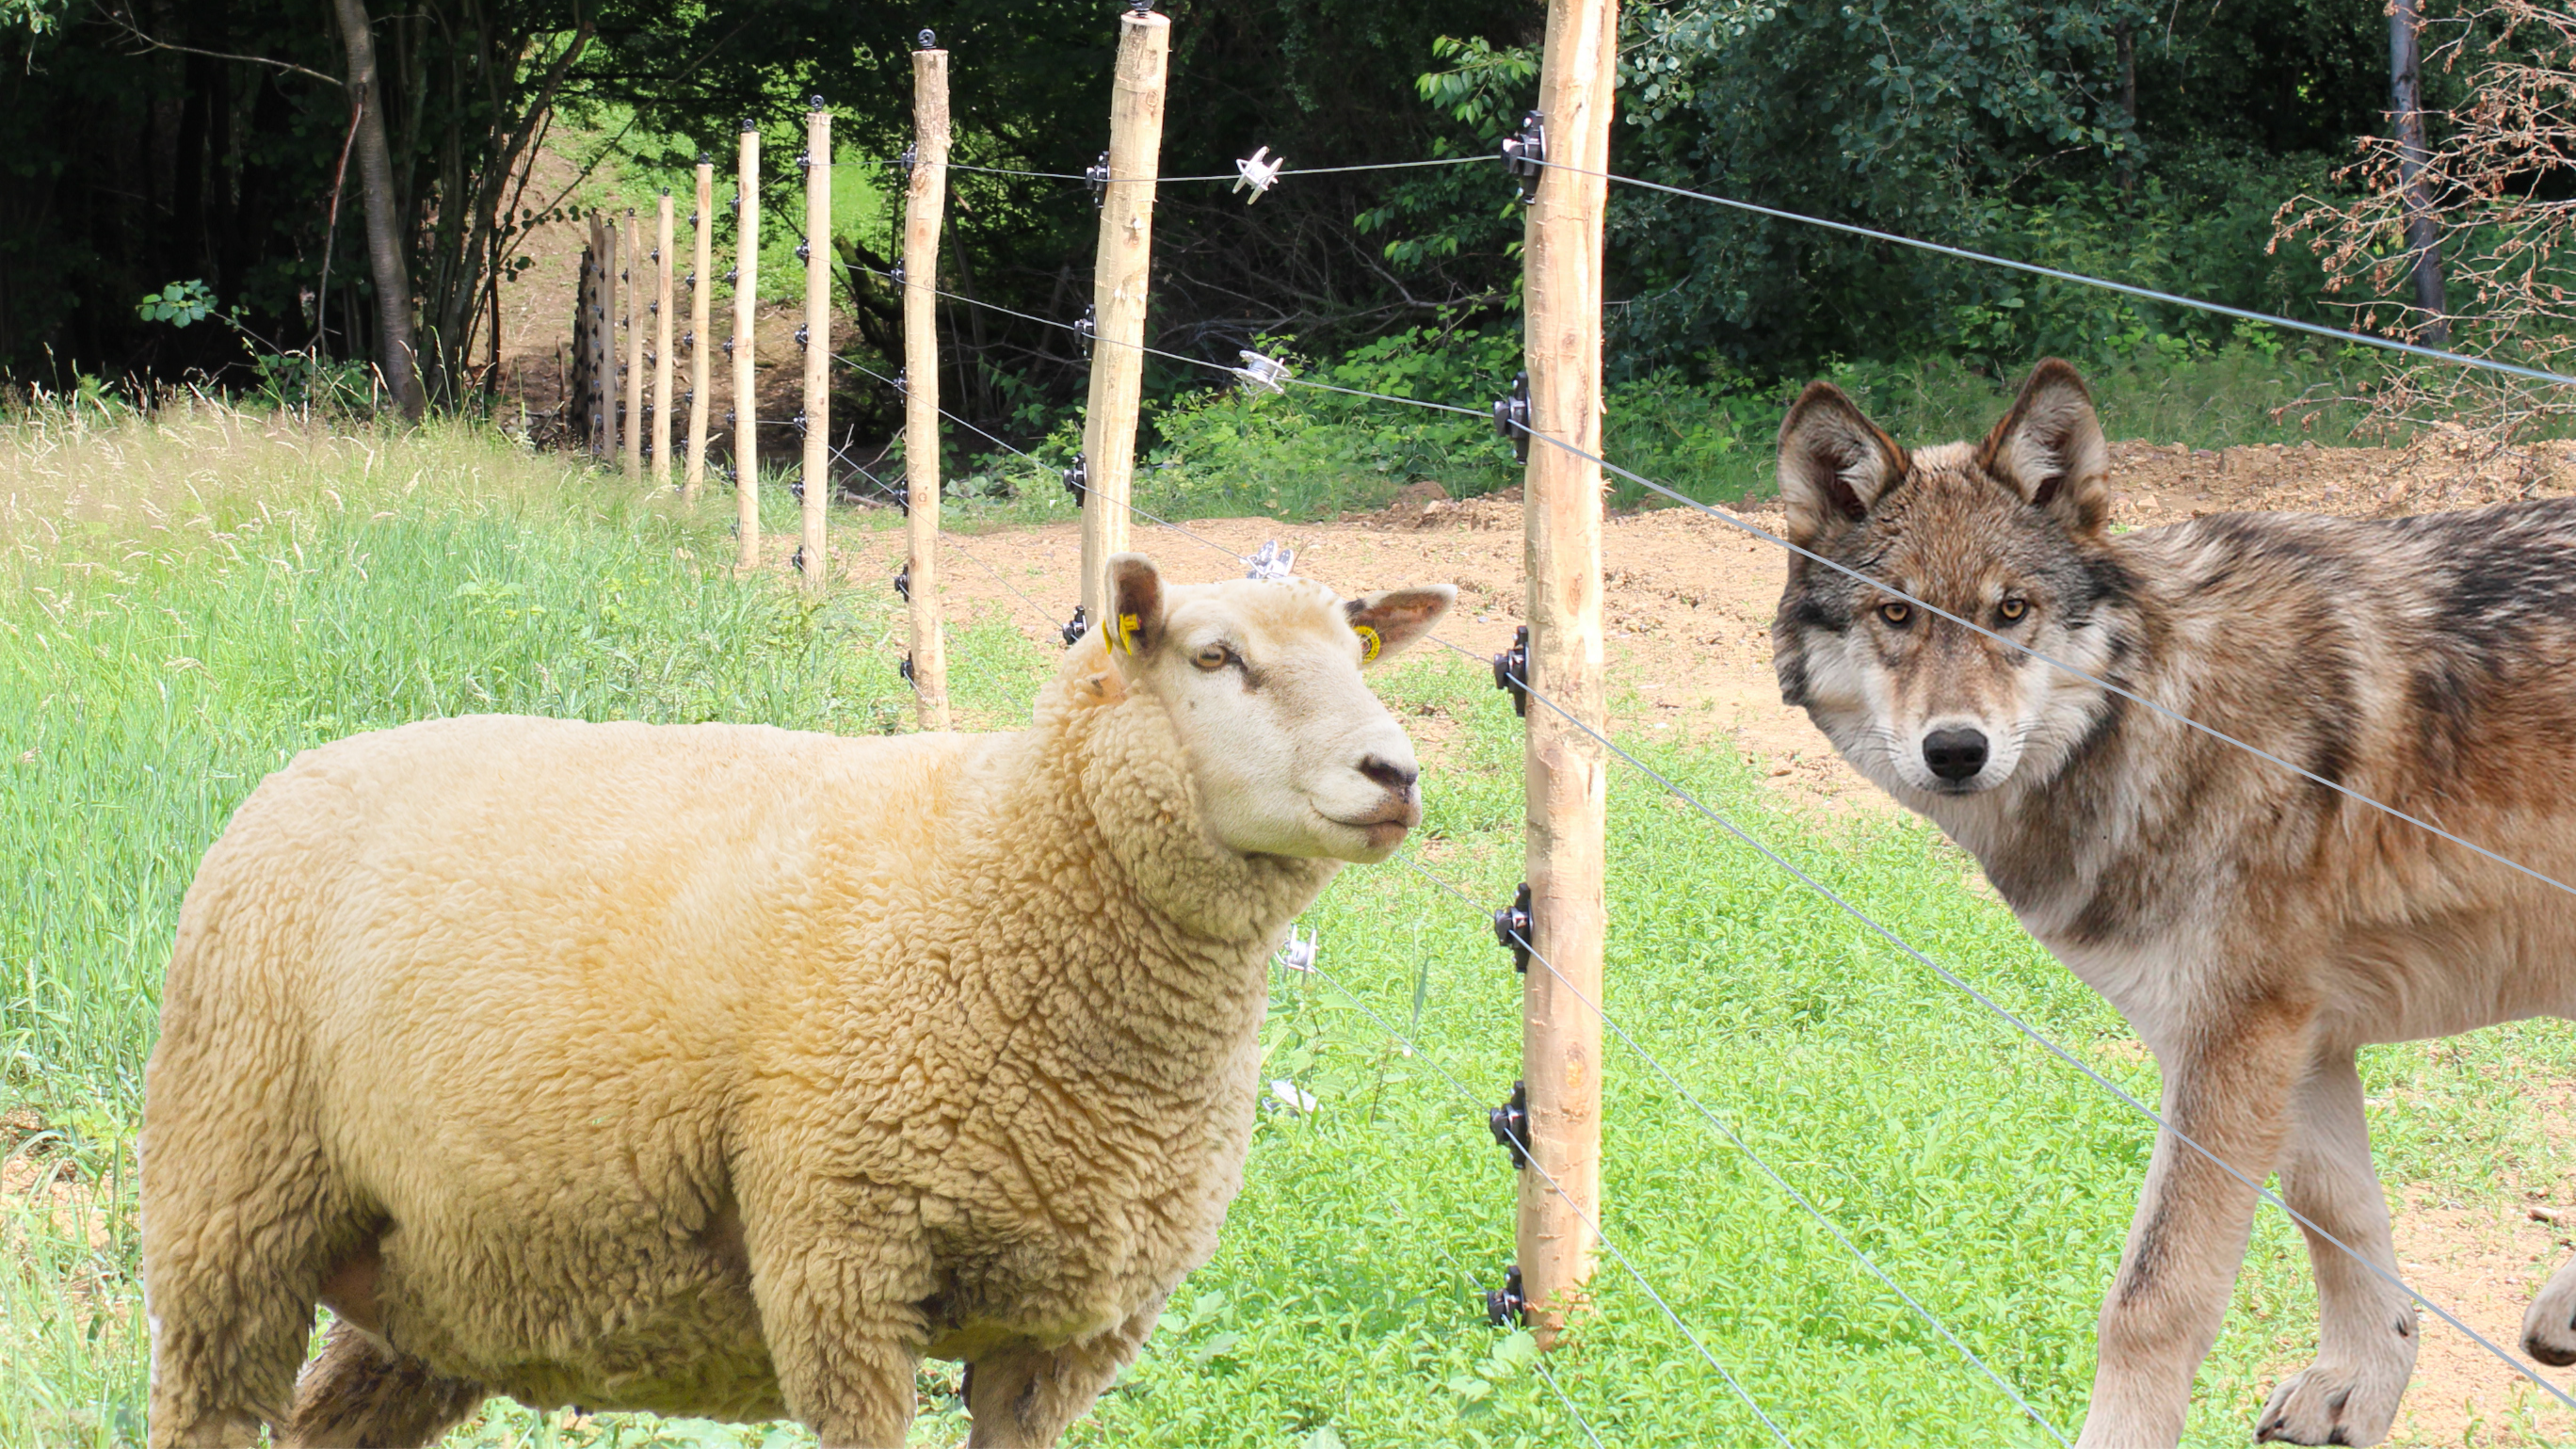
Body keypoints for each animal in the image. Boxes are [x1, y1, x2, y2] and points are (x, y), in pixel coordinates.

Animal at [140, 553, 1455, 1449]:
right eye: (1213, 657)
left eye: (1360, 653)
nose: (1396, 774)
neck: (1001, 873)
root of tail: (296, 772)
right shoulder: (842, 1266)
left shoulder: (1064, 1334)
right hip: (230, 1202)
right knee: (206, 1404)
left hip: (435, 1270)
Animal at [1769, 358, 2576, 1448]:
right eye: (1896, 615)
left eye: (2011, 611)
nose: (1957, 750)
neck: (2157, 707)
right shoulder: (2295, 1036)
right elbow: (2337, 1216)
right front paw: (2362, 1382)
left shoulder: (2232, 1038)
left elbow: (2150, 1301)